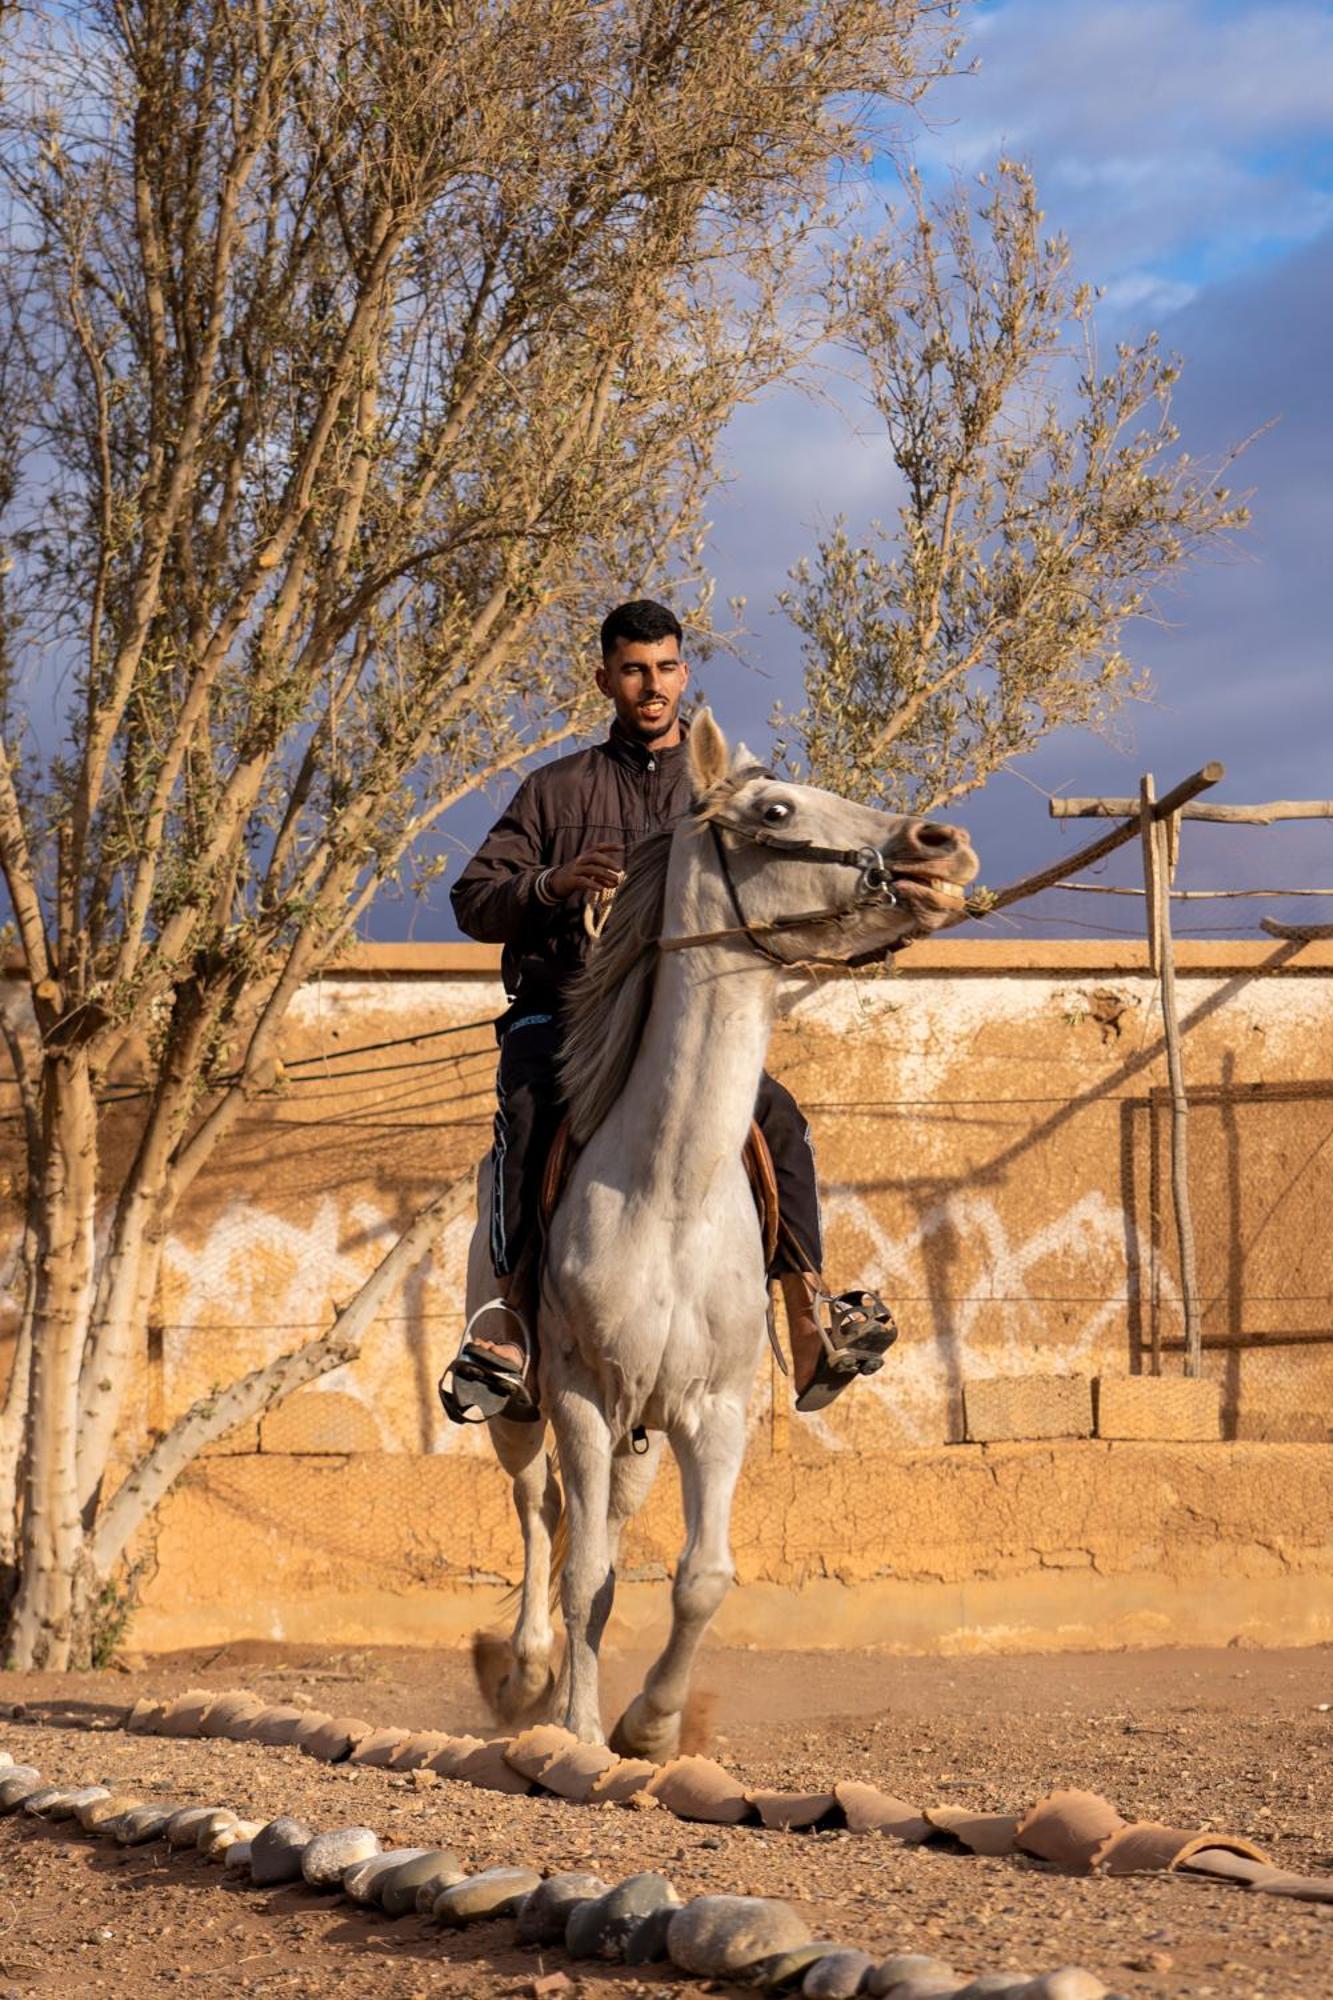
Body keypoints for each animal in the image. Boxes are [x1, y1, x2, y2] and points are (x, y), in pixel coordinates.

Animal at [462, 712, 972, 1744]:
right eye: (773, 809)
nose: (941, 847)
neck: (668, 1194)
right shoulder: (580, 1397)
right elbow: (581, 1571)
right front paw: (578, 1730)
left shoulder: (714, 1409)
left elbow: (699, 1578)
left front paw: (646, 1728)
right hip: (524, 1409)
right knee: (537, 1510)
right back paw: (527, 1674)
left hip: (643, 1435)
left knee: (601, 1525)